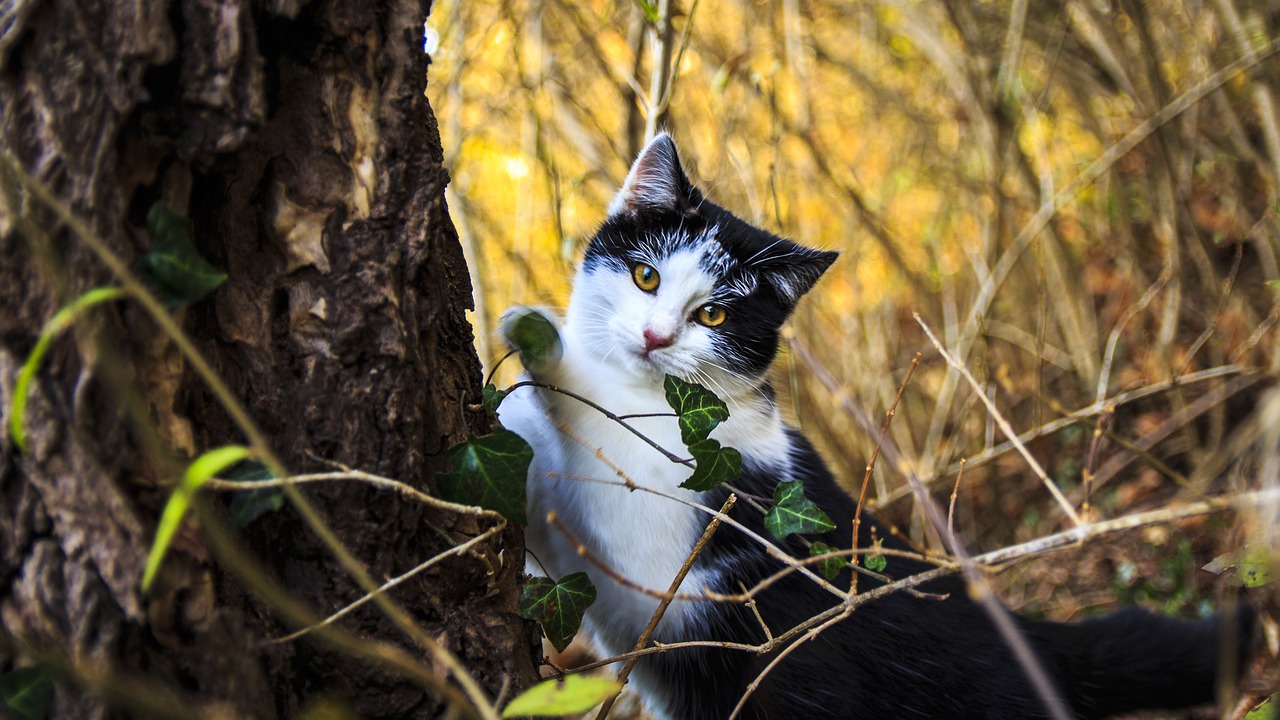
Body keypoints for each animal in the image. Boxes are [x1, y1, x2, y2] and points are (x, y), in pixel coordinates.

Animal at [496, 131, 1249, 712]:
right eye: (646, 277)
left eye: (713, 314)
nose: (655, 338)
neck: (651, 391)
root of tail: (1032, 641)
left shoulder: (666, 519)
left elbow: (588, 421)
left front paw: (533, 338)